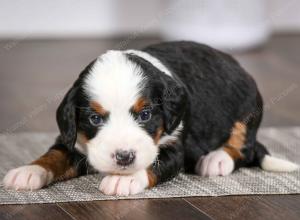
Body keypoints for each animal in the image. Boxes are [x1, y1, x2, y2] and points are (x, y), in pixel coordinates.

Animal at [2, 40, 298, 194]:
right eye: (95, 119)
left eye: (145, 115)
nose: (124, 157)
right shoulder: (72, 138)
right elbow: (54, 155)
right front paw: (29, 171)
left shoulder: (175, 147)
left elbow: (154, 163)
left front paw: (124, 179)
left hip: (247, 106)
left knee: (244, 147)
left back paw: (216, 160)